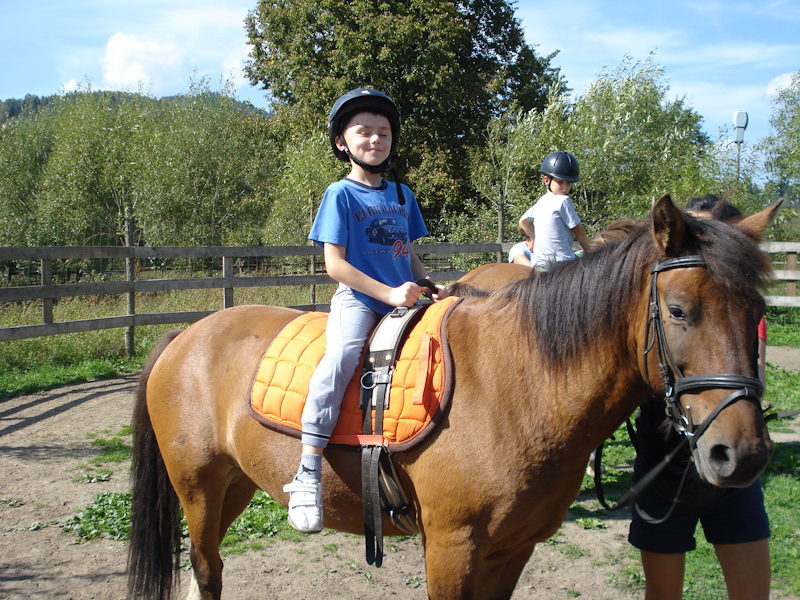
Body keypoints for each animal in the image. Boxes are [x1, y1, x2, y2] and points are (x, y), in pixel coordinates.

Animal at [128, 195, 779, 600]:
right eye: (679, 311)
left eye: (758, 311)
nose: (741, 453)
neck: (516, 384)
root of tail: (185, 336)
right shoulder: (451, 546)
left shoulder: (512, 549)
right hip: (198, 489)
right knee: (207, 569)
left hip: (235, 483)